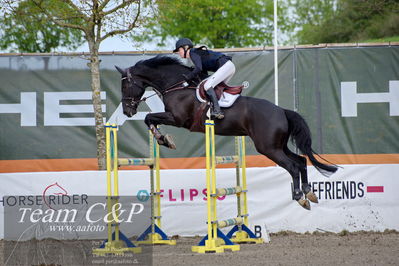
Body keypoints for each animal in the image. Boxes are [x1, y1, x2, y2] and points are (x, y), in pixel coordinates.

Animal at [115, 55, 338, 210]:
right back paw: (309, 194)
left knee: (292, 166)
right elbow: (149, 119)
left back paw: (300, 197)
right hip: (277, 145)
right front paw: (163, 139)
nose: (127, 111)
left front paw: (164, 139)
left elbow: (148, 118)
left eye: (125, 85)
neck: (176, 86)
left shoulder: (177, 119)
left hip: (268, 148)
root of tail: (282, 110)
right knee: (301, 161)